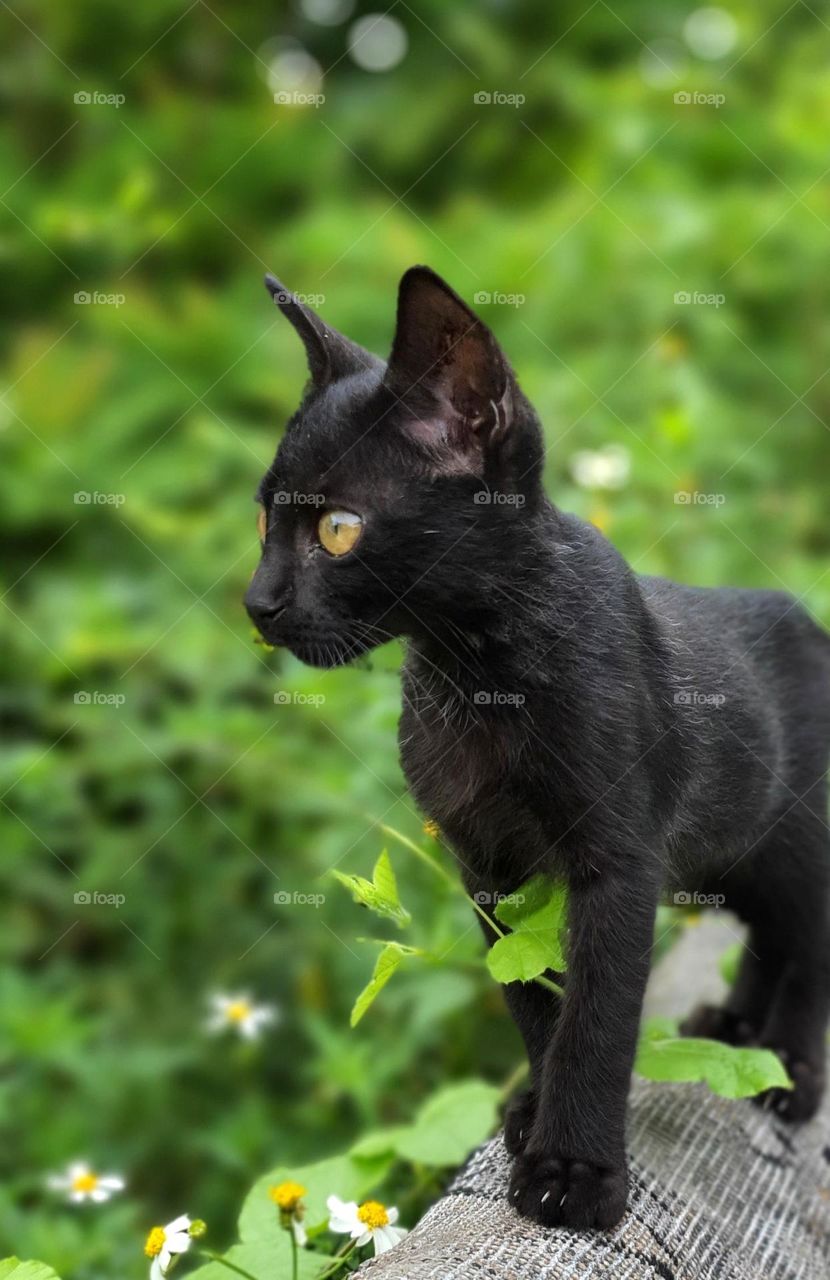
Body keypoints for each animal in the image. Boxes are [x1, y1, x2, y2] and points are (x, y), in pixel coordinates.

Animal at [245, 267, 830, 1228]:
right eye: (263, 523)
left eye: (337, 529)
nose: (256, 603)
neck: (477, 672)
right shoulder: (488, 868)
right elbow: (530, 994)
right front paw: (530, 1110)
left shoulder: (619, 863)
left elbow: (597, 1017)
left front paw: (574, 1171)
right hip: (732, 853)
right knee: (773, 935)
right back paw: (737, 1030)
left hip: (796, 840)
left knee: (811, 938)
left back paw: (789, 1071)